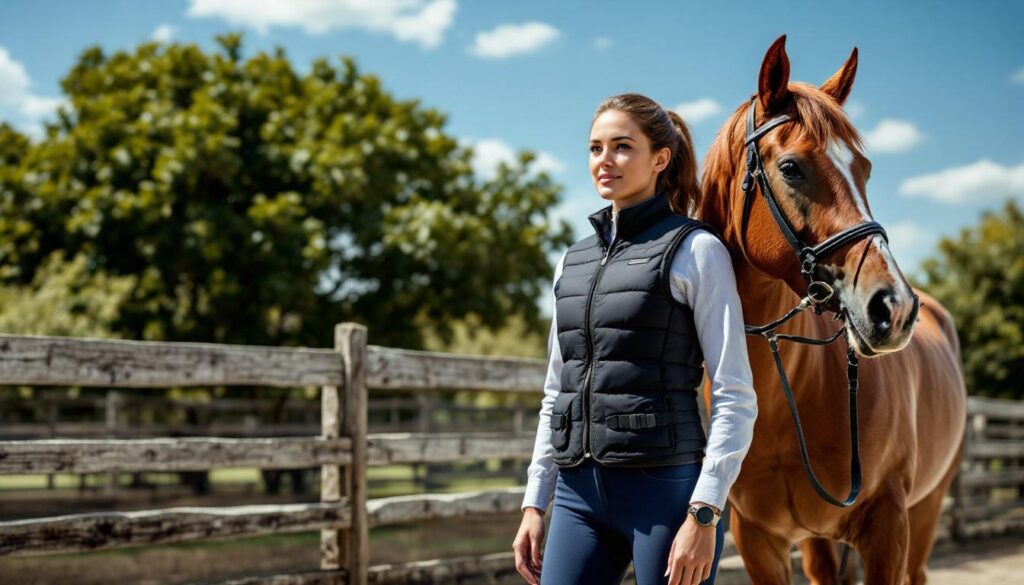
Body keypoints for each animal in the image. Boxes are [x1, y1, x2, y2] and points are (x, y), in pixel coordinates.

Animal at [697, 36, 967, 585]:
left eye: (865, 169)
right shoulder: (758, 539)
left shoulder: (887, 525)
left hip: (926, 510)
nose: (895, 308)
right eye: (790, 168)